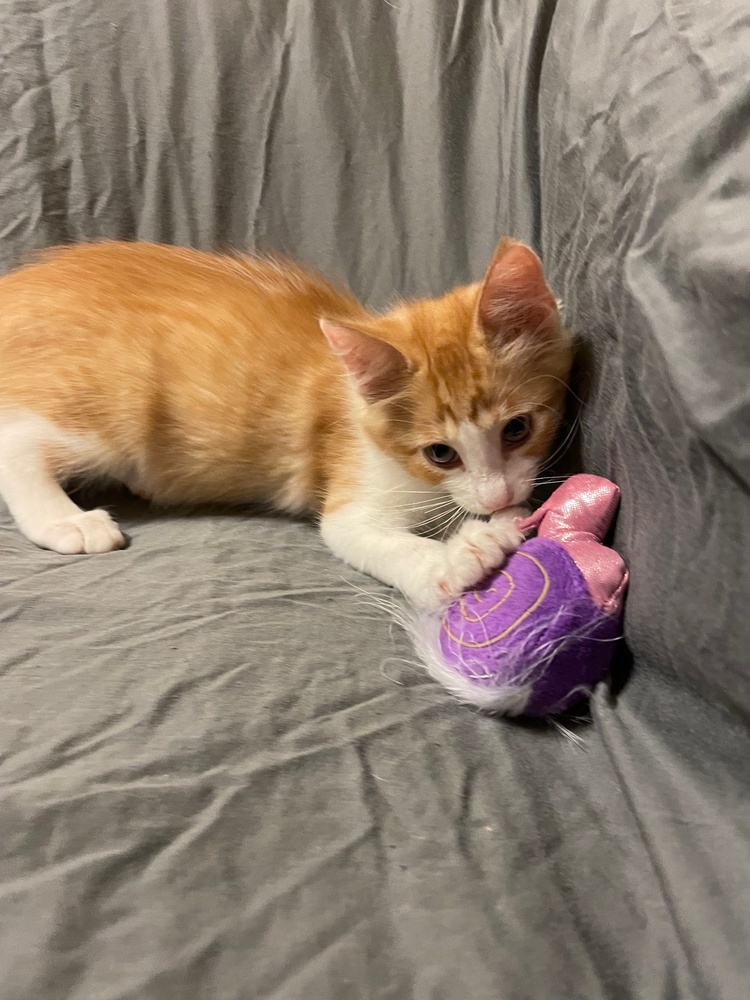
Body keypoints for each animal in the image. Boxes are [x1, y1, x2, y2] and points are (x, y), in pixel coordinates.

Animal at [0, 240, 572, 608]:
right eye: (440, 453)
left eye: (517, 428)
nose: (499, 495)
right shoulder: (350, 484)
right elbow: (362, 535)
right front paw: (452, 561)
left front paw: (491, 526)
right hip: (120, 399)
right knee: (17, 437)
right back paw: (67, 521)